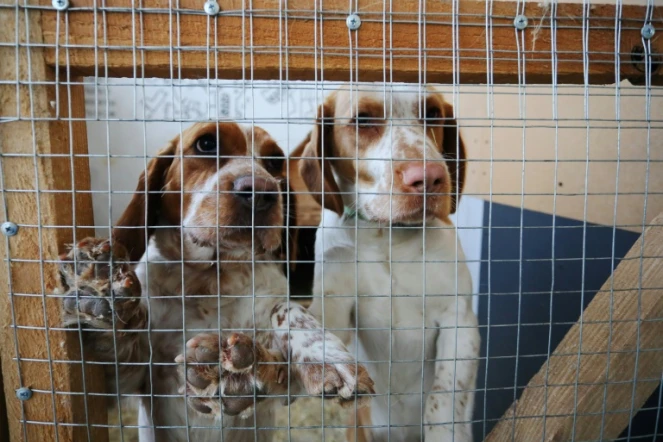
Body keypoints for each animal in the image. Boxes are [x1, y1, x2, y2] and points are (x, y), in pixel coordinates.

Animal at [57, 121, 374, 442]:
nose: (261, 192)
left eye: (274, 161)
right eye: (206, 144)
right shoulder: (125, 382)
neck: (213, 282)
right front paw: (101, 289)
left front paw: (323, 355)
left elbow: (288, 311)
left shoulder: (285, 386)